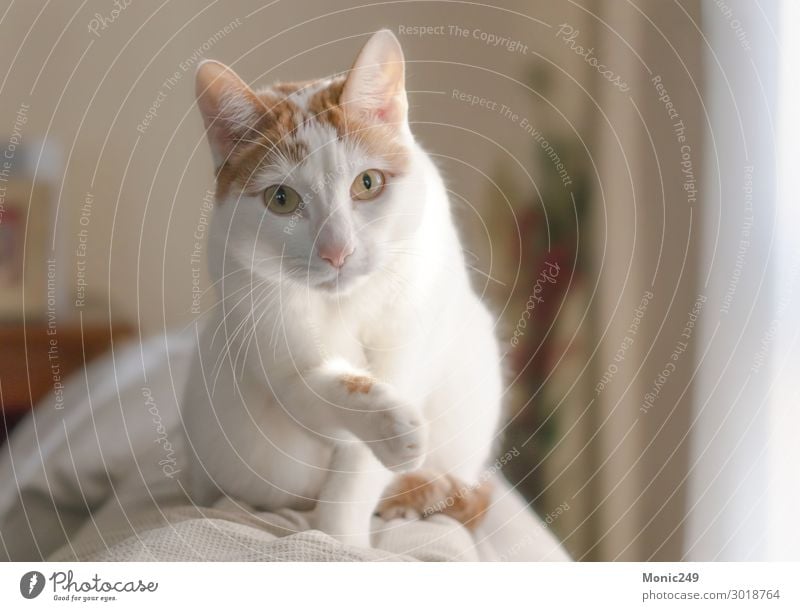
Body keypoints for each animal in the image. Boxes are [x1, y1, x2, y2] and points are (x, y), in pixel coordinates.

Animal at [184, 28, 504, 548]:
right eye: (281, 199)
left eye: (367, 183)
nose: (337, 251)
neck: (343, 303)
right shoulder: (267, 343)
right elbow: (327, 388)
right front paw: (390, 429)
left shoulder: (414, 338)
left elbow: (359, 465)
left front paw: (342, 536)